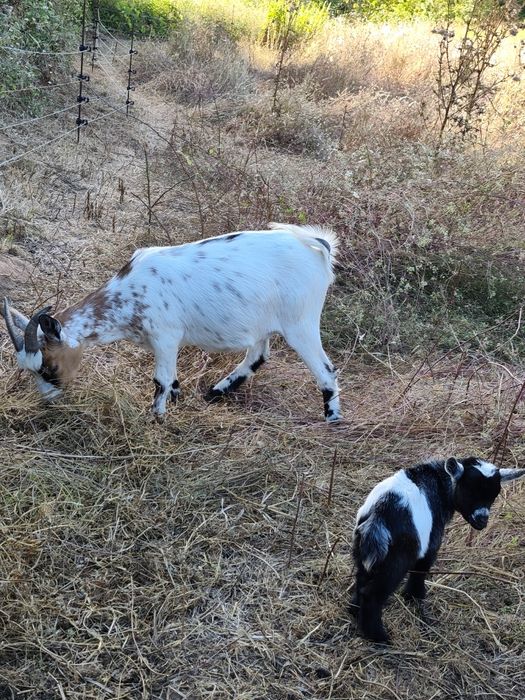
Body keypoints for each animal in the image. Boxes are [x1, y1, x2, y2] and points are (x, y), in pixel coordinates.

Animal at [2, 223, 341, 421]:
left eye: (49, 366)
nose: (49, 400)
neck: (130, 290)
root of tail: (317, 246)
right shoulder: (164, 342)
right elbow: (172, 379)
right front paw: (176, 401)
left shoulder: (165, 336)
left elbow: (161, 380)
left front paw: (157, 418)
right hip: (263, 322)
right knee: (258, 355)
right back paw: (215, 392)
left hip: (301, 322)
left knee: (325, 368)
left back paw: (332, 417)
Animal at [351, 457, 525, 643]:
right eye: (469, 491)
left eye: (493, 496)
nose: (482, 521)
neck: (439, 484)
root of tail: (378, 517)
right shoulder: (432, 541)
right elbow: (422, 568)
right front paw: (415, 596)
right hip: (398, 557)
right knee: (373, 592)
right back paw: (379, 637)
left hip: (363, 547)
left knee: (361, 578)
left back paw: (355, 612)